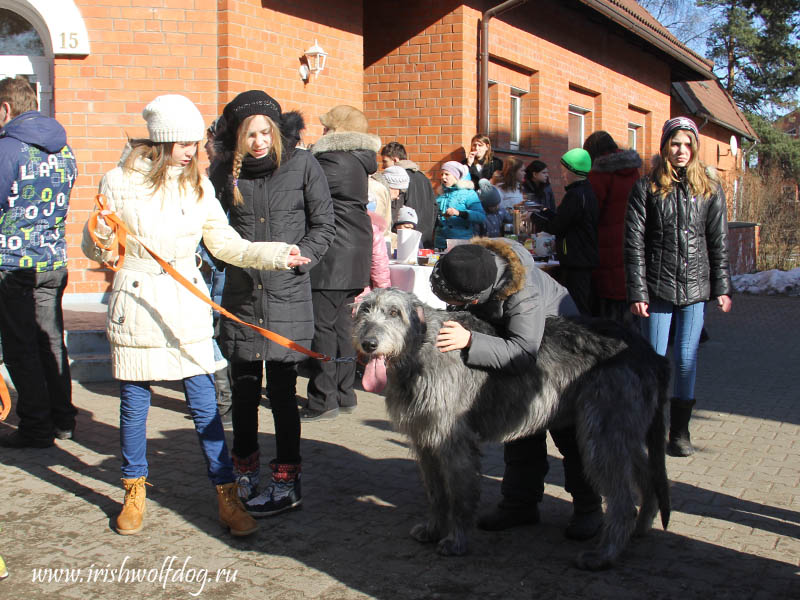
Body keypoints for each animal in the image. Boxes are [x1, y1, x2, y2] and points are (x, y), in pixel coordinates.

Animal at [354, 288, 672, 568]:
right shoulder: (425, 440)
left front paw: (456, 541)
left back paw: (604, 555)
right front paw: (433, 529)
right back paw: (641, 526)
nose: (368, 343)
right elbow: (436, 492)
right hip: (623, 429)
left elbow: (459, 495)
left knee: (622, 501)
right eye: (364, 309)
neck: (423, 348)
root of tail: (649, 351)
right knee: (647, 476)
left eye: (394, 312)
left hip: (602, 431)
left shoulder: (453, 441)